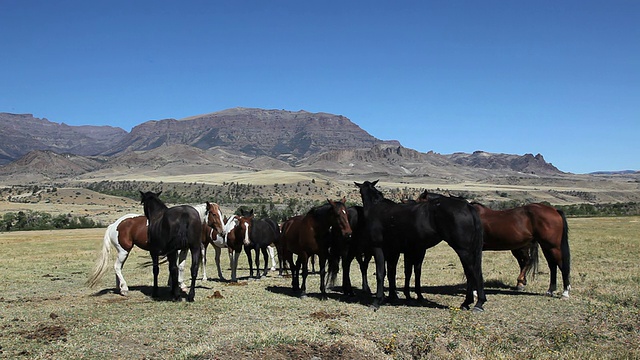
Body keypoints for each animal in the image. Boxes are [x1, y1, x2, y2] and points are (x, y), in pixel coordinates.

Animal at [356, 181, 484, 310]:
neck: (376, 208)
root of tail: (467, 206)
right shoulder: (395, 251)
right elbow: (395, 272)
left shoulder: (379, 248)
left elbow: (381, 273)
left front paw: (377, 301)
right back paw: (469, 302)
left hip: (463, 250)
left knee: (473, 272)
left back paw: (476, 303)